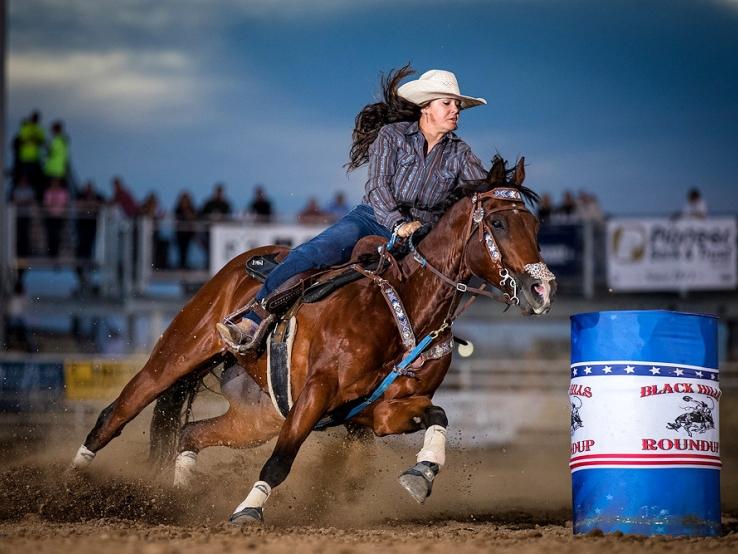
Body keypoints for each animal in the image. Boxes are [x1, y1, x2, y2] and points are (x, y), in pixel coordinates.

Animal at [70, 154, 552, 520]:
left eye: (535, 226)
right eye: (499, 224)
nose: (542, 290)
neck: (405, 307)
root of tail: (242, 262)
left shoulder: (379, 413)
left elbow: (439, 416)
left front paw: (421, 475)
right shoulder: (317, 392)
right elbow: (281, 460)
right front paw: (247, 511)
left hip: (256, 415)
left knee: (191, 433)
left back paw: (180, 498)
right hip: (177, 355)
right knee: (116, 413)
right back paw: (73, 484)